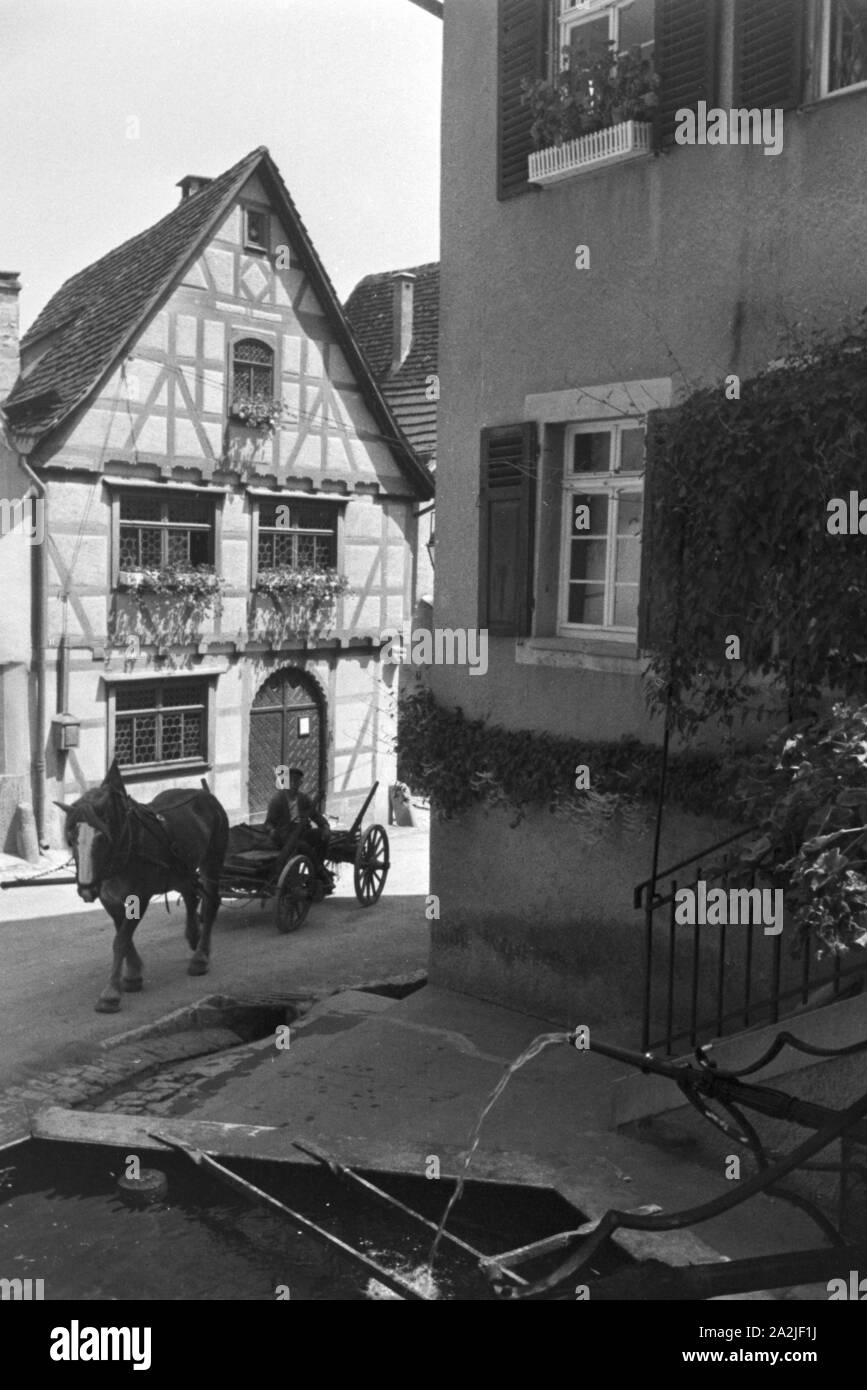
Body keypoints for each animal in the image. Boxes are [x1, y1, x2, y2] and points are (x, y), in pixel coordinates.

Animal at [53, 761, 230, 1011]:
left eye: (102, 838)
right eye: (71, 839)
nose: (87, 889)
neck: (126, 845)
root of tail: (205, 793)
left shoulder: (141, 896)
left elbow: (121, 940)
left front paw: (110, 994)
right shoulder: (109, 899)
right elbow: (123, 936)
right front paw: (133, 974)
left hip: (212, 861)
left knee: (211, 902)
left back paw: (201, 957)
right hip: (180, 869)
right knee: (190, 895)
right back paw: (193, 934)